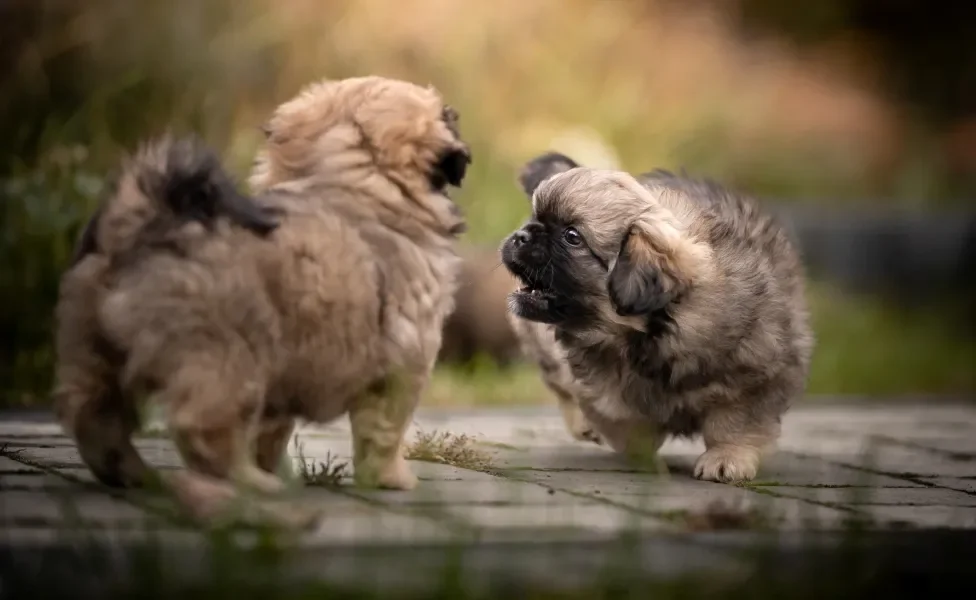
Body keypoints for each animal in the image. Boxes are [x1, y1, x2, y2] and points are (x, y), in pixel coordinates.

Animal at [53, 76, 472, 524]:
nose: (455, 113)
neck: (359, 181)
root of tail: (149, 222)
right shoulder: (402, 371)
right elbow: (384, 433)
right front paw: (392, 478)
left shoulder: (288, 380)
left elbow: (271, 435)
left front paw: (277, 467)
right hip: (230, 361)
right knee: (202, 429)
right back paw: (250, 484)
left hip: (93, 349)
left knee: (95, 416)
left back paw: (131, 473)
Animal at [500, 152, 812, 480]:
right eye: (535, 218)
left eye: (572, 236)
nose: (521, 236)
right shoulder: (604, 390)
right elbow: (620, 416)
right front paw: (640, 445)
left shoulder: (757, 373)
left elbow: (734, 423)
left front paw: (727, 458)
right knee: (561, 388)